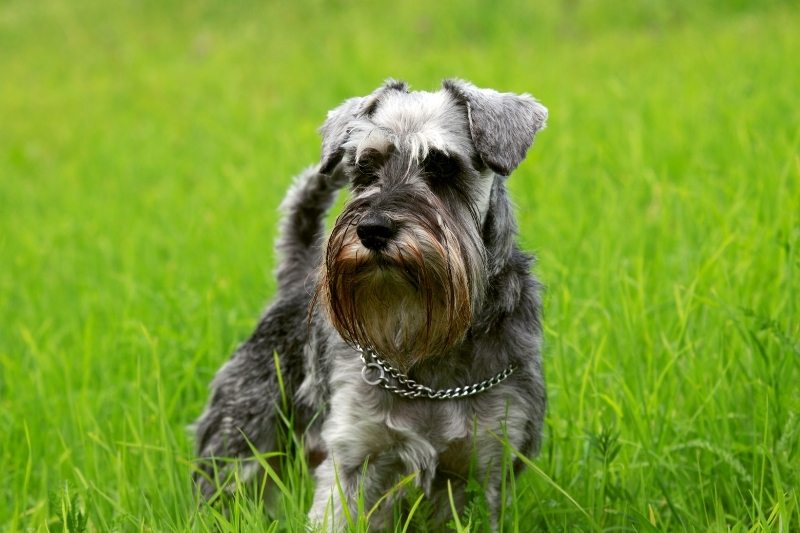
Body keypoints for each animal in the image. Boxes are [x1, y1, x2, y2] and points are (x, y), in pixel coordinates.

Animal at [194, 78, 548, 528]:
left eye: (442, 166)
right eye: (364, 168)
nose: (373, 229)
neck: (427, 354)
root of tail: (296, 275)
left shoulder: (486, 467)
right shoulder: (353, 457)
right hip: (240, 443)